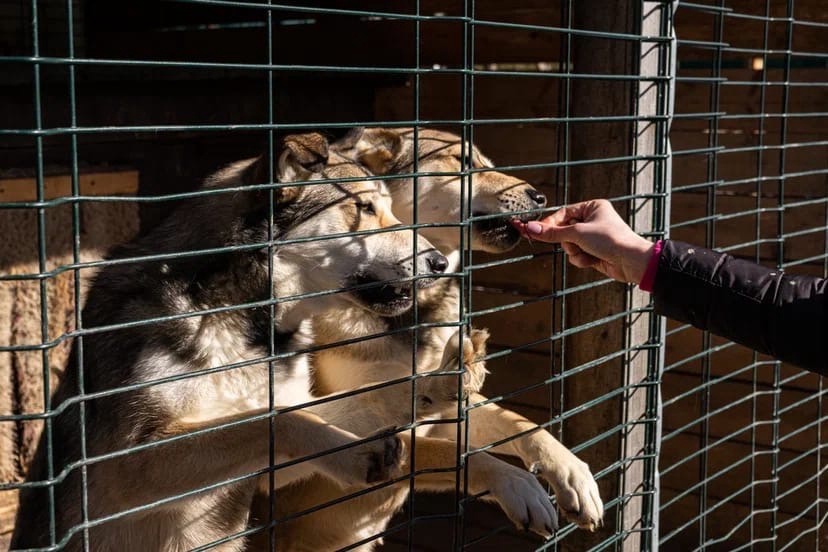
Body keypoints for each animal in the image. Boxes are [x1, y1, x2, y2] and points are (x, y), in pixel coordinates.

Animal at [8, 134, 452, 552]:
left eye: (387, 209)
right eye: (363, 207)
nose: (440, 264)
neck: (246, 328)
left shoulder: (270, 471)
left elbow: (359, 401)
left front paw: (437, 385)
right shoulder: (130, 464)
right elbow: (271, 418)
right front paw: (356, 451)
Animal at [252, 127, 600, 548]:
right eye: (462, 162)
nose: (541, 198)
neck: (412, 310)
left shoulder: (447, 400)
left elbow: (516, 421)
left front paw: (572, 472)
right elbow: (439, 451)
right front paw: (519, 485)